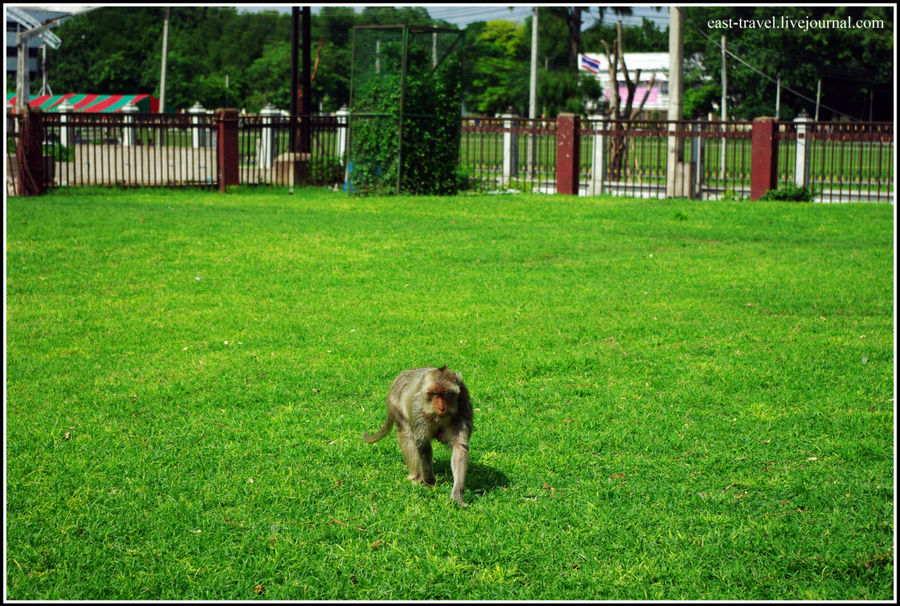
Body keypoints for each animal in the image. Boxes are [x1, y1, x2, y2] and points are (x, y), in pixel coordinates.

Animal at [366, 366, 478, 508]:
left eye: (446, 394)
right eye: (434, 393)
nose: (442, 407)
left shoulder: (463, 409)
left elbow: (459, 448)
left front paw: (457, 494)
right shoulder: (418, 410)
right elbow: (422, 445)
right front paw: (429, 482)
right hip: (395, 405)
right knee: (407, 435)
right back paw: (417, 477)